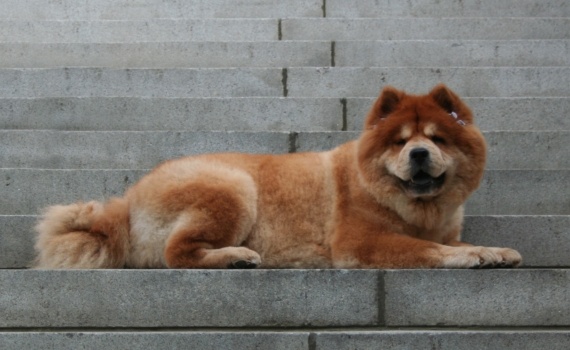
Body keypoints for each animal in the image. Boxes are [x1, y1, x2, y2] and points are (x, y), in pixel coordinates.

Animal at [31, 83, 520, 270]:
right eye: (400, 143)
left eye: (437, 138)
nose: (419, 153)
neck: (417, 208)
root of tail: (127, 200)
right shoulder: (359, 241)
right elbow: (428, 249)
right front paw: (469, 257)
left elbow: (456, 241)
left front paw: (493, 250)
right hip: (233, 187)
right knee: (177, 253)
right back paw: (235, 257)